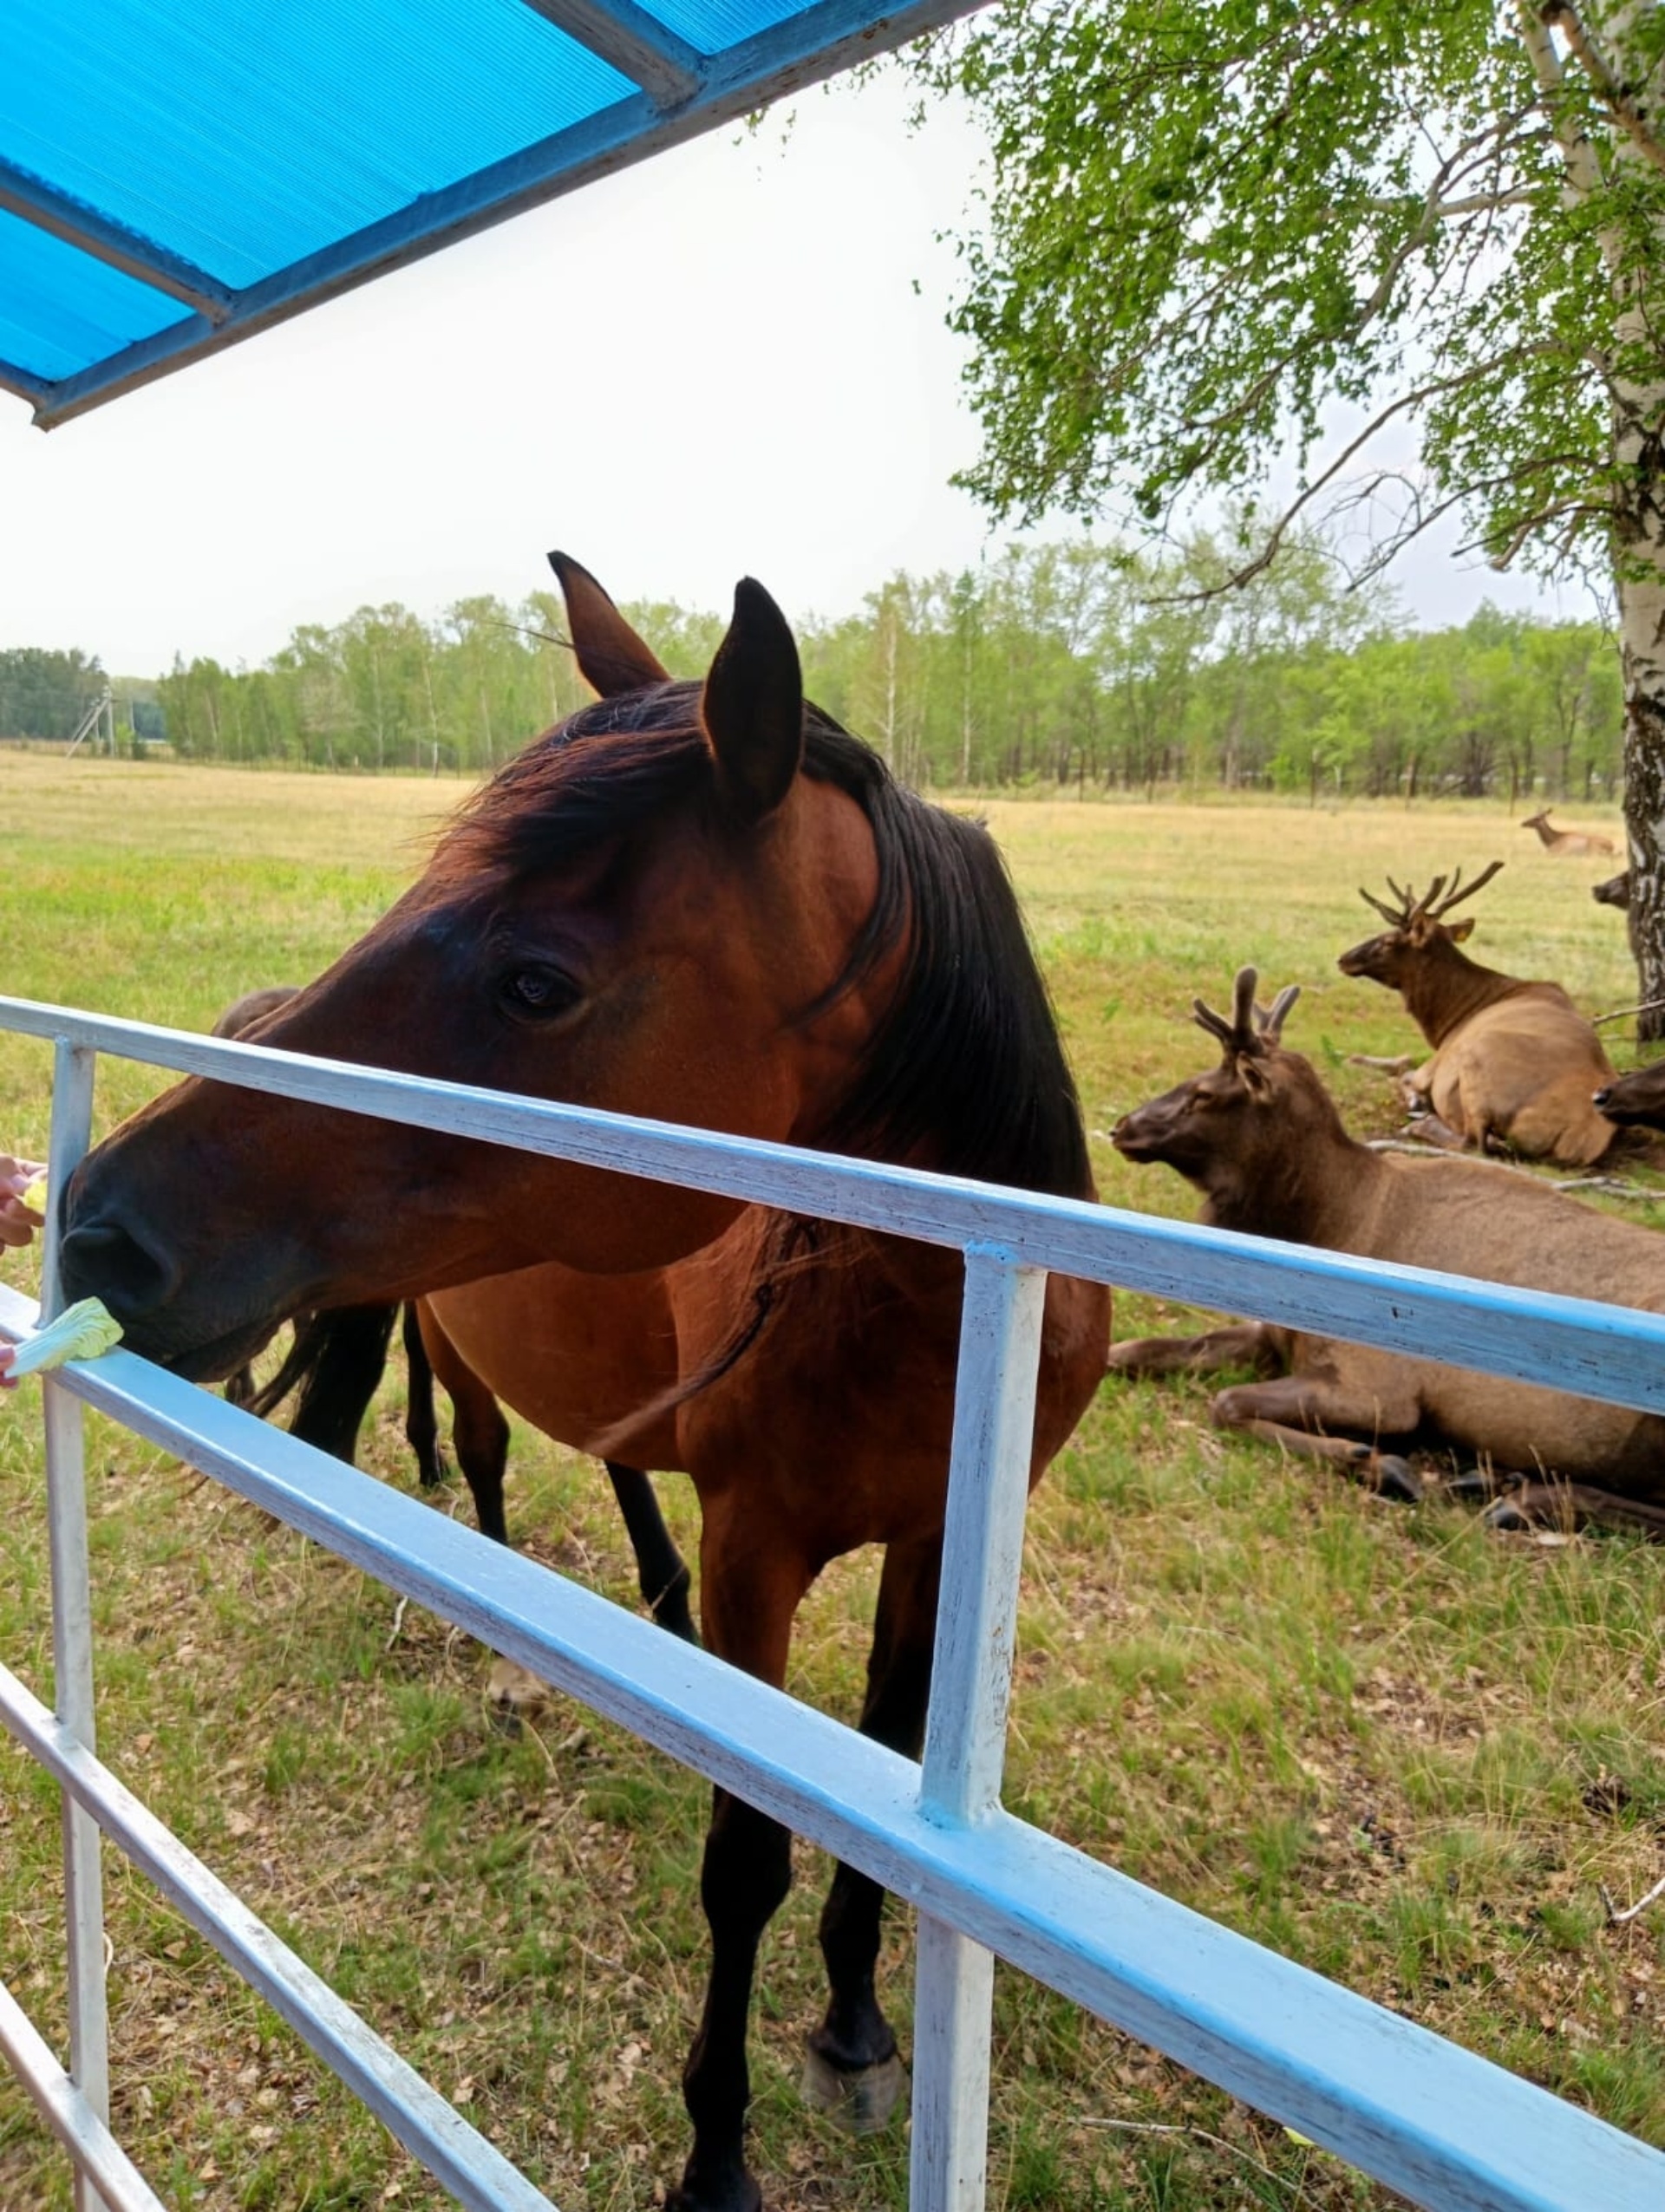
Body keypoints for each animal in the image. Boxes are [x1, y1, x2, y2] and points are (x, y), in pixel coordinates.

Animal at [64, 552, 1110, 2212]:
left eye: (537, 981)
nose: (103, 1223)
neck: (926, 1313)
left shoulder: (938, 1547)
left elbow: (878, 1784)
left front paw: (859, 2024)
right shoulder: (766, 1551)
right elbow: (747, 1858)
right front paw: (717, 2152)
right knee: (485, 1455)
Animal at [1105, 969, 1662, 1539]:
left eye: (1203, 1093)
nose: (1122, 1126)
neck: (1329, 1227)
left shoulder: (1382, 1390)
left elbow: (1226, 1403)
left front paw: (1377, 1462)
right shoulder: (1277, 1334)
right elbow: (1127, 1350)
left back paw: (1523, 1499)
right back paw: (1497, 1479)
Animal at [1335, 862, 1618, 1177]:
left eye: (1388, 940)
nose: (1343, 959)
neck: (1445, 1021)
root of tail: (1580, 1135)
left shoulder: (1437, 1063)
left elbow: (1405, 1075)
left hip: (1478, 1059)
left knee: (1474, 1142)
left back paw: (1421, 1124)